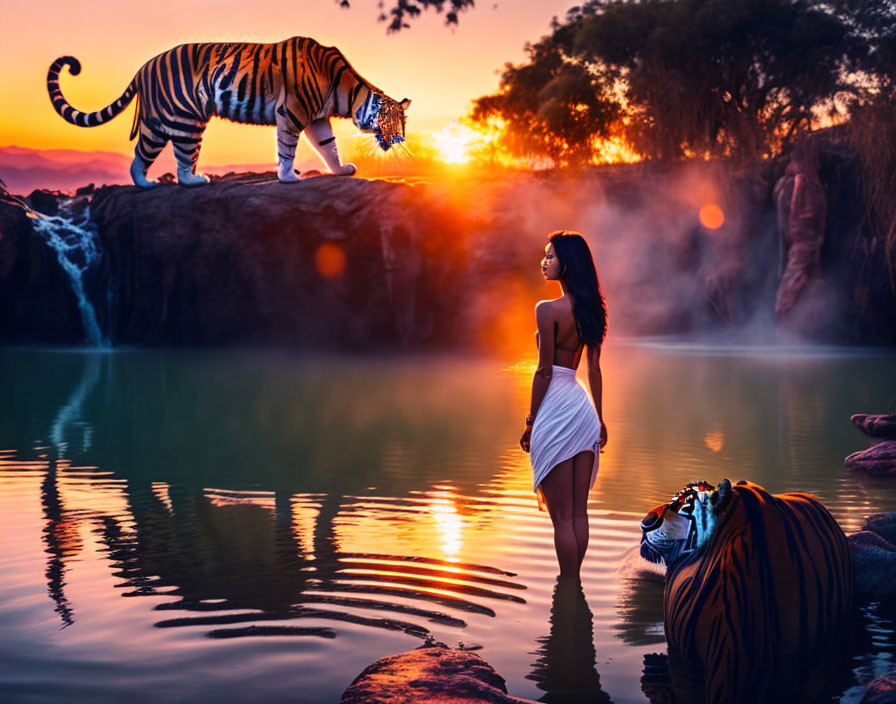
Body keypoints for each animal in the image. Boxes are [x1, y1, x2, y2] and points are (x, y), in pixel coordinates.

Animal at [47, 37, 412, 187]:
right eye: (390, 121)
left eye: (403, 125)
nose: (399, 140)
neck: (345, 92)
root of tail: (144, 67)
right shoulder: (291, 112)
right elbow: (287, 148)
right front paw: (288, 177)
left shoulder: (318, 118)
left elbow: (328, 147)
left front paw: (341, 170)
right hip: (185, 117)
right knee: (177, 158)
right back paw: (192, 182)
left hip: (164, 120)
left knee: (145, 154)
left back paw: (147, 184)